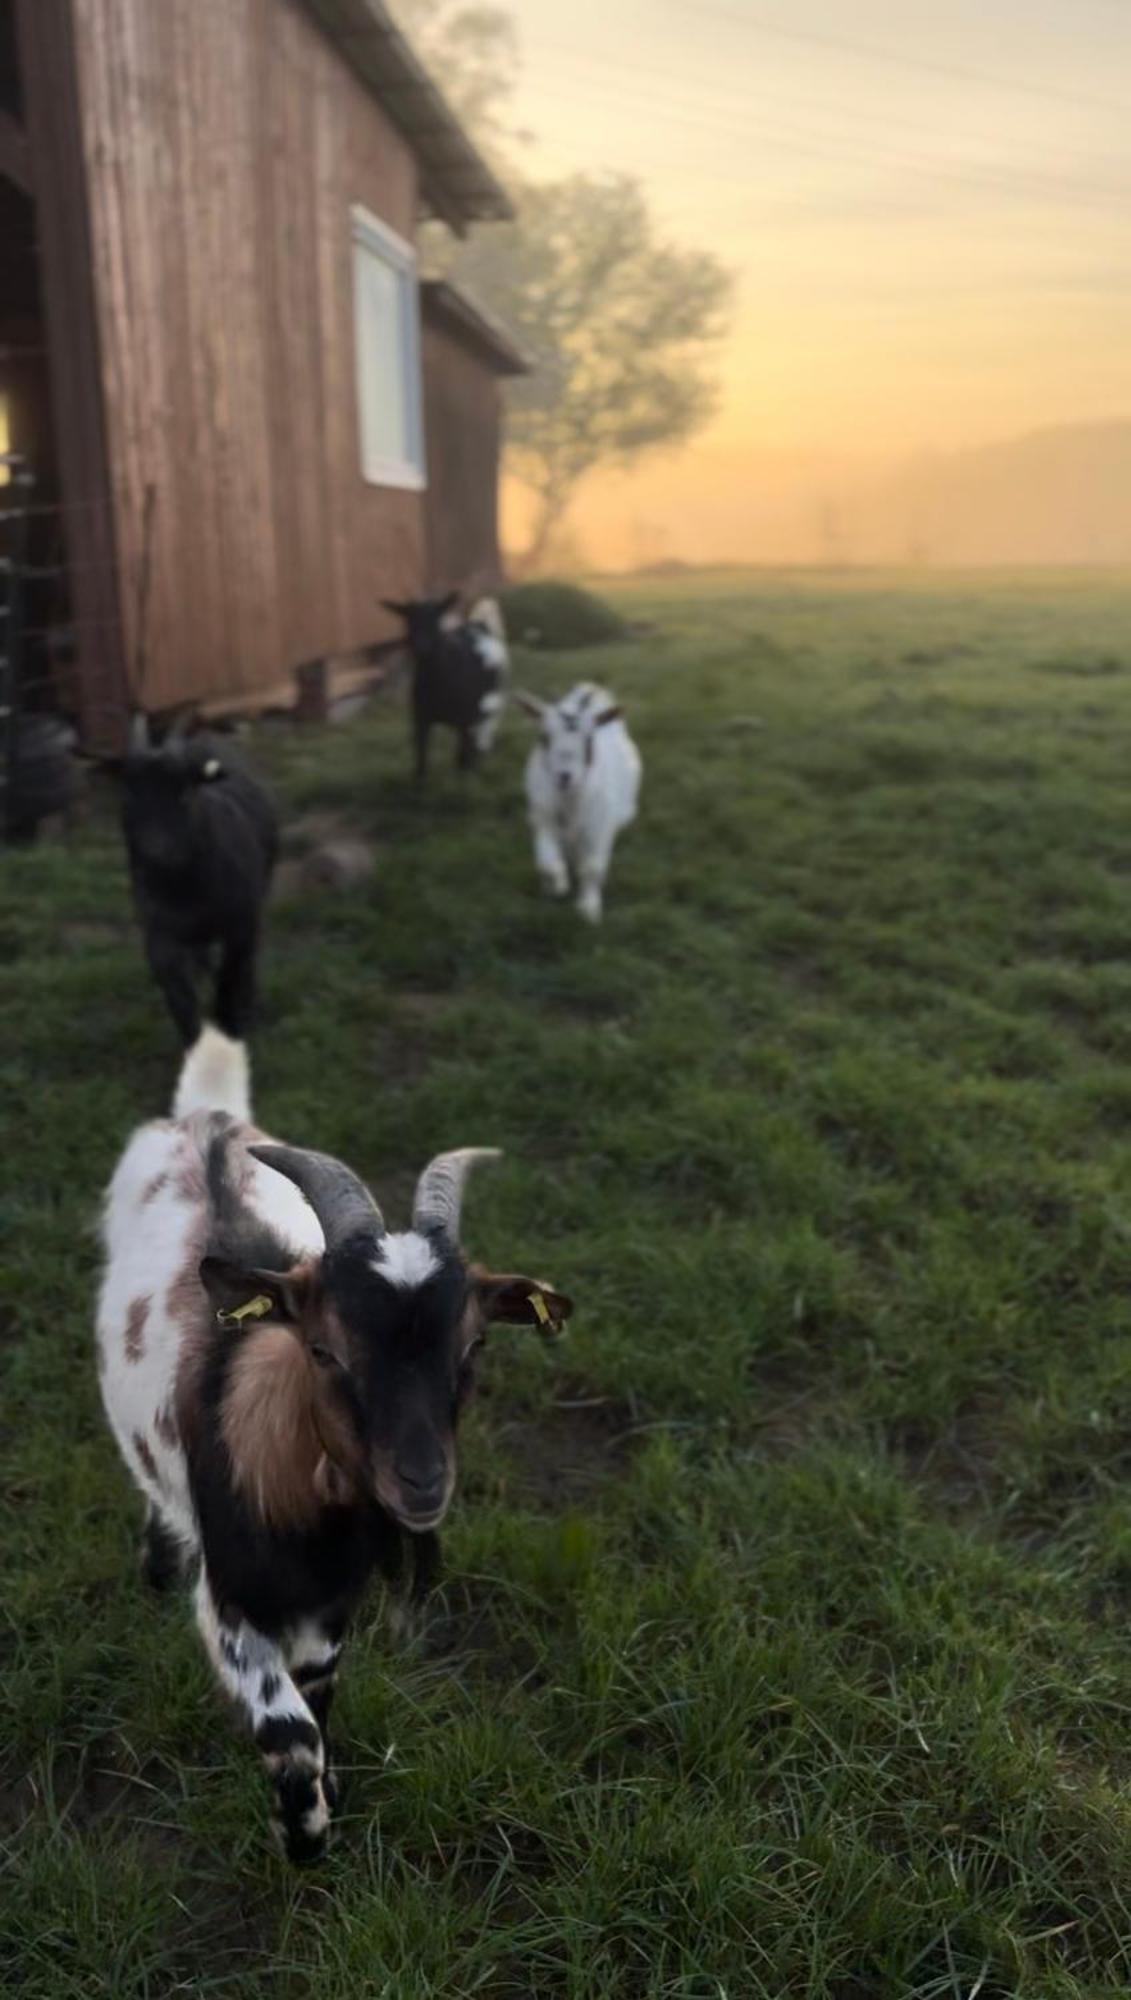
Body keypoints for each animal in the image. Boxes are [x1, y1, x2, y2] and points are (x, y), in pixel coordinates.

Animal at [97, 1024, 575, 1864]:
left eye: (474, 1345)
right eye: (322, 1349)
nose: (421, 1482)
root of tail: (207, 1115)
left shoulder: (331, 1603)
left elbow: (319, 1694)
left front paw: (331, 1792)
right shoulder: (229, 1599)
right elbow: (287, 1731)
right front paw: (304, 1834)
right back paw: (155, 1561)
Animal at [119, 716, 279, 1048]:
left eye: (184, 793)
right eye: (128, 795)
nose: (156, 853)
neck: (185, 888)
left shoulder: (241, 925)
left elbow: (229, 984)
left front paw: (233, 1030)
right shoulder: (160, 938)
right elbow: (181, 1003)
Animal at [381, 588, 509, 776]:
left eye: (436, 618)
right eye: (409, 619)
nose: (422, 647)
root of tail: (478, 624)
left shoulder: (465, 719)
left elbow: (462, 759)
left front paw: (466, 778)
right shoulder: (420, 720)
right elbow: (421, 762)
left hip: (492, 700)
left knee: (483, 733)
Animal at [519, 676, 643, 916]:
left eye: (589, 739)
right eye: (544, 737)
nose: (565, 776)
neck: (570, 800)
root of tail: (590, 688)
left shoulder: (600, 826)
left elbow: (592, 867)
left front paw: (588, 908)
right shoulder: (543, 818)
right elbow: (548, 864)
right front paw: (557, 886)